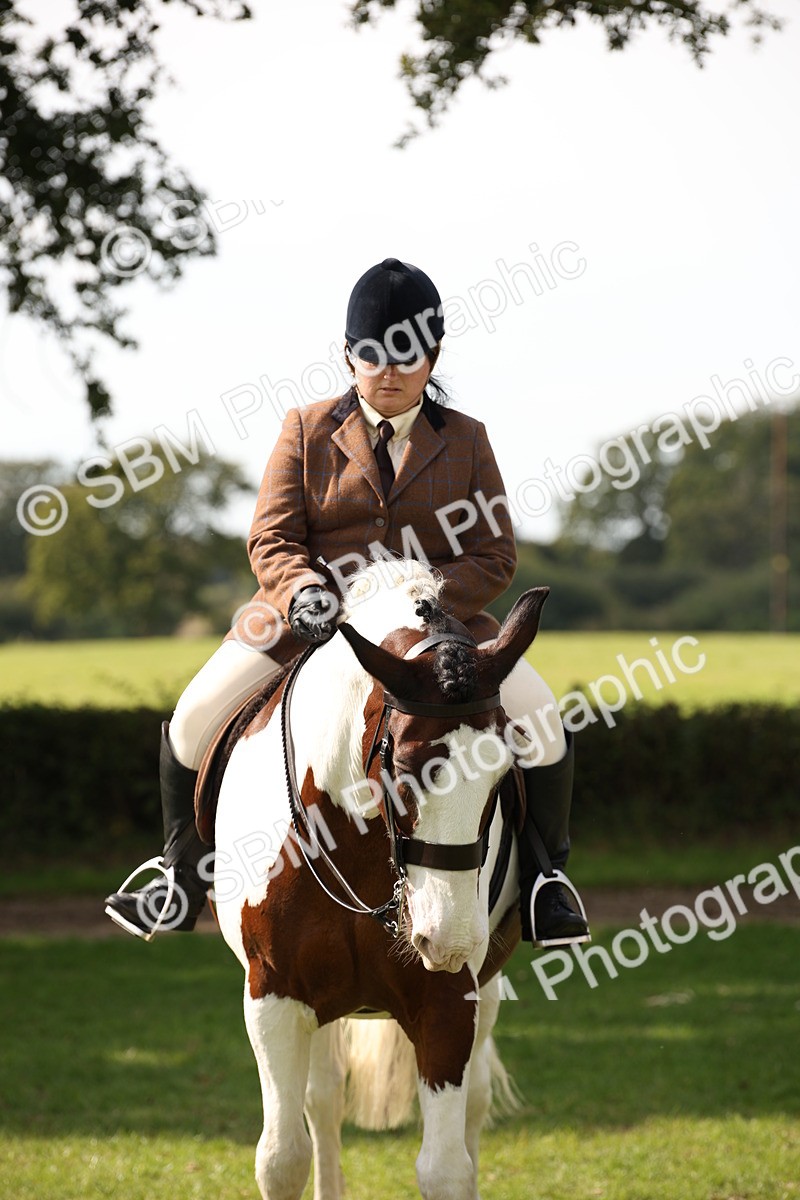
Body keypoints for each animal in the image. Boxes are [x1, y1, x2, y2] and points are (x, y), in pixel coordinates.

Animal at [212, 559, 550, 1200]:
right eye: (406, 769)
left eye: (503, 775)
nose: (449, 940)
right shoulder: (273, 997)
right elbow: (282, 1158)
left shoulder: (449, 1000)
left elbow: (446, 1168)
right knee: (321, 1101)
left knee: (474, 1105)